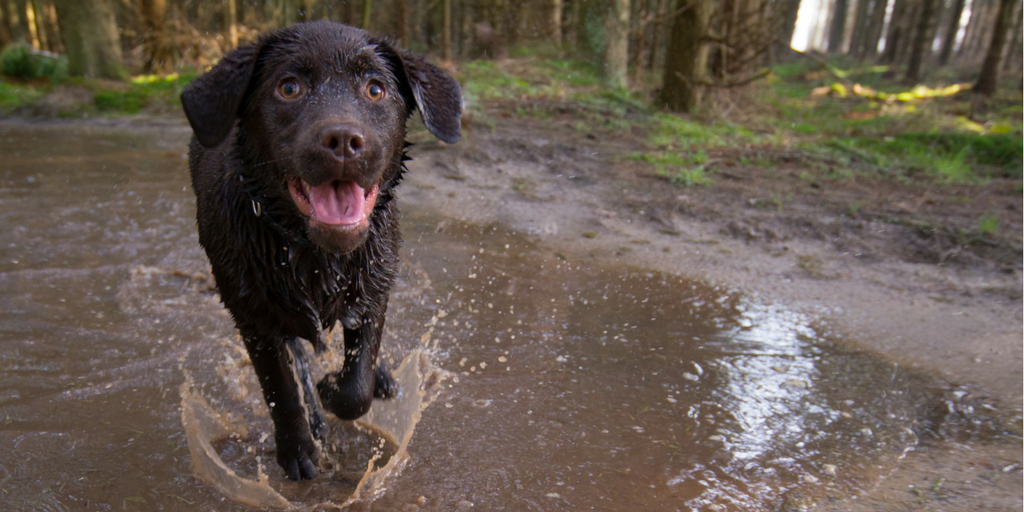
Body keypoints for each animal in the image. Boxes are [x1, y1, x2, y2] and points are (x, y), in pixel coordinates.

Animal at [179, 20, 460, 483]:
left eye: (375, 89)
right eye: (288, 87)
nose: (343, 139)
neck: (314, 254)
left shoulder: (373, 292)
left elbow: (357, 385)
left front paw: (340, 386)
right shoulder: (254, 317)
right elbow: (282, 388)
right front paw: (299, 449)